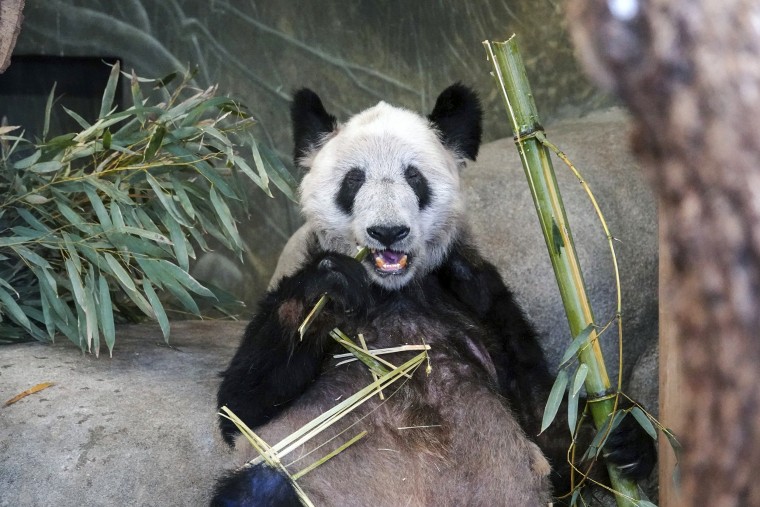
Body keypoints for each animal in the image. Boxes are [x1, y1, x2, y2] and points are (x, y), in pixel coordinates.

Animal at [209, 85, 652, 506]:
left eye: (414, 177)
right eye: (354, 180)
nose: (388, 232)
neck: (394, 292)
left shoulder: (479, 298)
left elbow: (551, 429)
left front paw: (626, 434)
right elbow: (242, 405)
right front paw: (328, 287)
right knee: (260, 488)